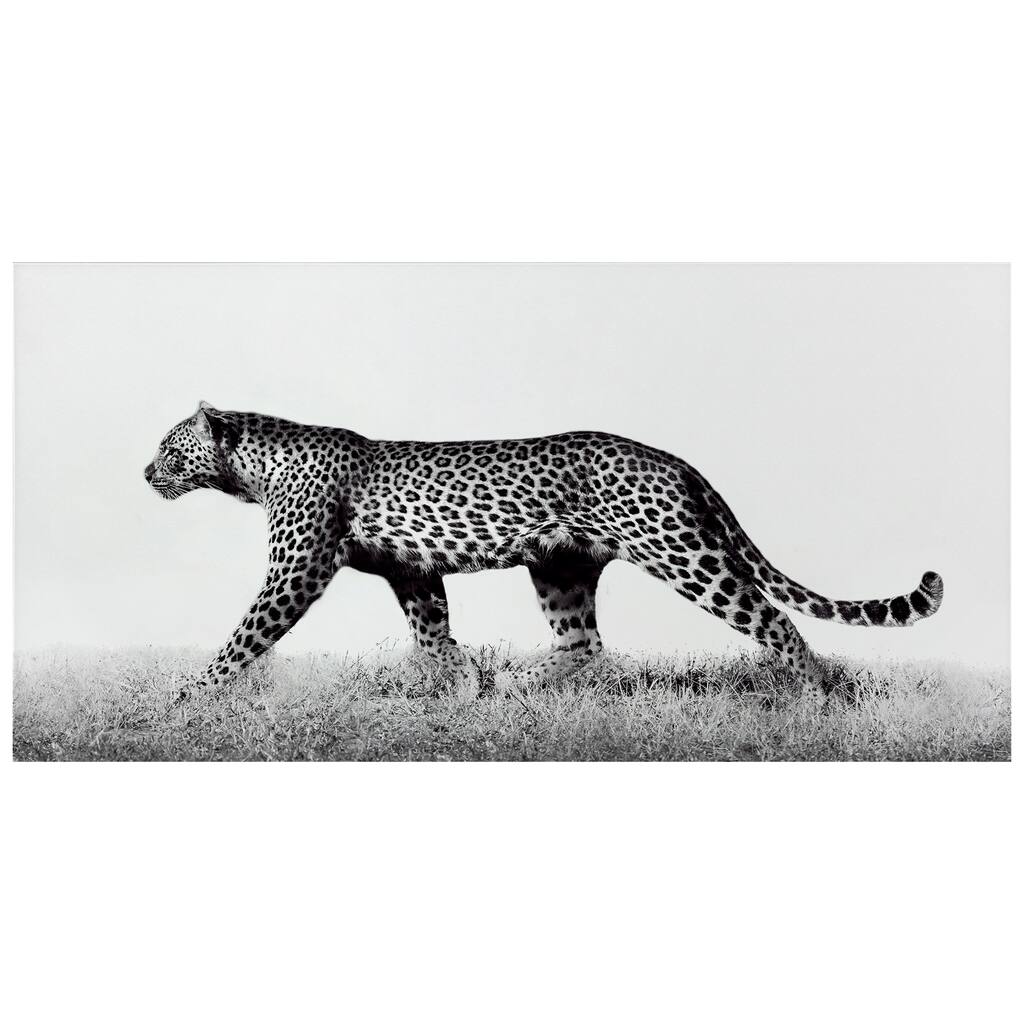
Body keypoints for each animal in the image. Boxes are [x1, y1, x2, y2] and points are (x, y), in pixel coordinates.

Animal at [145, 402, 944, 700]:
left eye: (169, 446)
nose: (146, 472)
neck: (254, 470)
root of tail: (673, 459)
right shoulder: (412, 569)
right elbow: (432, 636)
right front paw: (459, 685)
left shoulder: (296, 569)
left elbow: (245, 636)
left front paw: (188, 695)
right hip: (559, 566)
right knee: (583, 645)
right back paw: (517, 683)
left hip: (684, 554)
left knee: (772, 619)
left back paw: (819, 695)